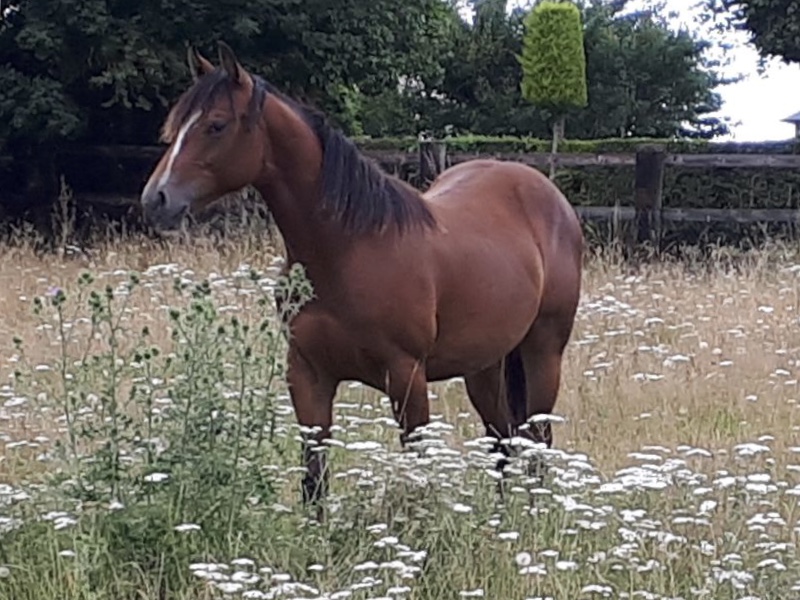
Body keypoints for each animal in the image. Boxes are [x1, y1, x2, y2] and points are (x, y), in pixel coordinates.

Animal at [140, 41, 584, 513]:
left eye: (216, 125)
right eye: (174, 126)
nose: (156, 200)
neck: (348, 249)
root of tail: (547, 195)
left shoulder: (407, 377)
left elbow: (416, 470)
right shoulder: (308, 376)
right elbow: (314, 481)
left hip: (543, 351)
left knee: (538, 440)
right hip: (485, 364)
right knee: (502, 438)